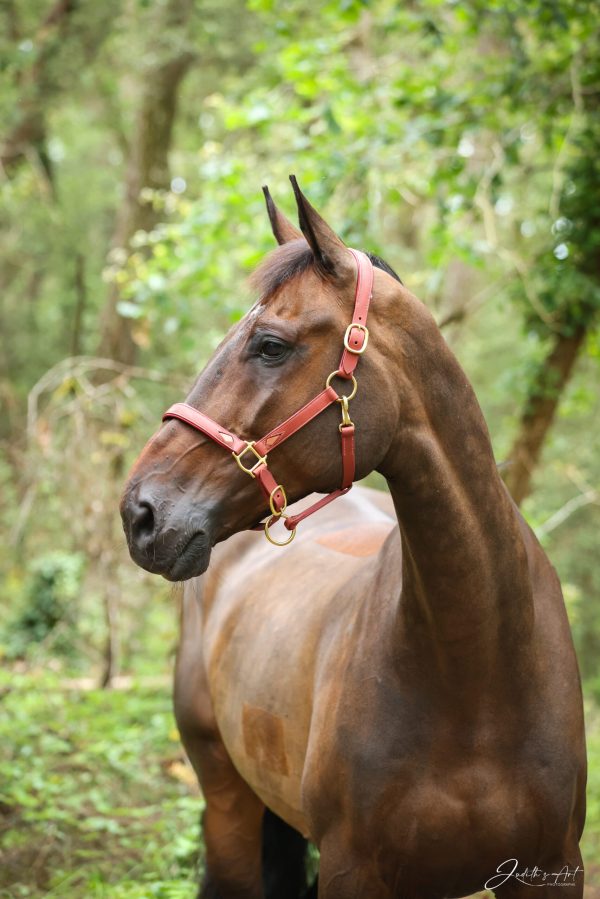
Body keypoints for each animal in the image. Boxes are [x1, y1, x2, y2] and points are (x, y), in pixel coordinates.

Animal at [120, 178, 584, 899]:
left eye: (270, 344)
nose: (140, 511)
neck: (478, 674)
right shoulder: (353, 869)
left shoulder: (554, 867)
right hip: (227, 802)